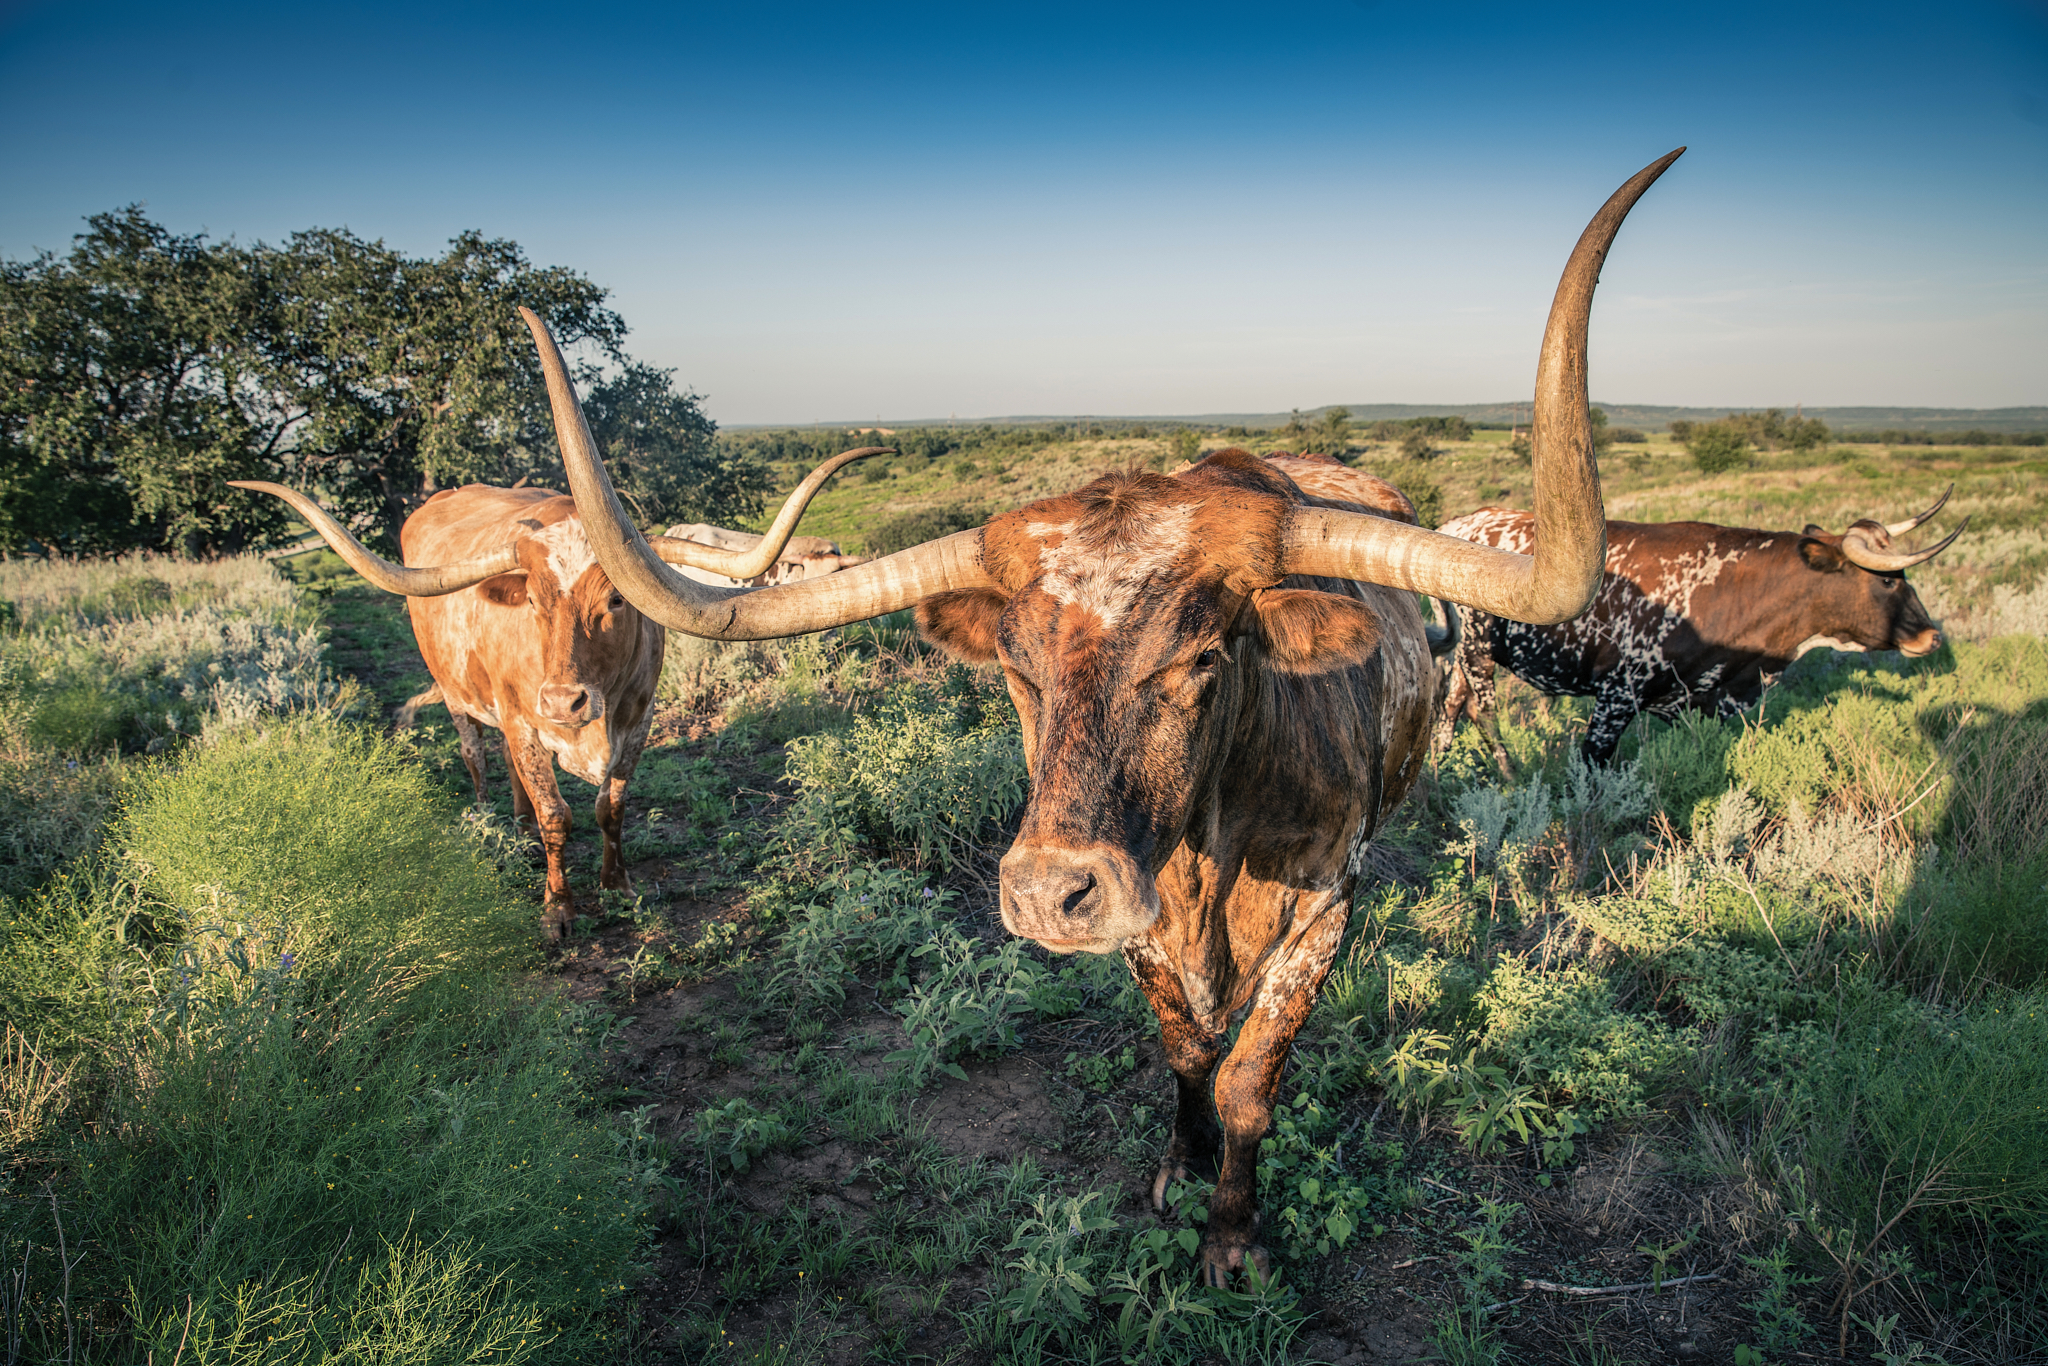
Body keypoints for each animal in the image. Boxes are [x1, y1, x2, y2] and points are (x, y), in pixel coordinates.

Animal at [230, 448, 880, 942]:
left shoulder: (638, 722)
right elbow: (556, 817)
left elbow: (609, 808)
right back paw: (495, 826)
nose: (562, 703)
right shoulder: (525, 720)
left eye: (617, 598)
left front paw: (616, 886)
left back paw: (517, 827)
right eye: (535, 601)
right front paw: (558, 907)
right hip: (462, 697)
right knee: (478, 756)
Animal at [524, 154, 1679, 1286]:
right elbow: (1186, 1055)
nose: (1049, 892)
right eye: (1014, 667)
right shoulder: (1142, 926)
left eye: (1204, 655)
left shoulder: (1323, 916)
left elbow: (1249, 1078)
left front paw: (1232, 1236)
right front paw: (1181, 1168)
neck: (1214, 850)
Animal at [1433, 497, 1957, 765]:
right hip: (1478, 653)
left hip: (1466, 657)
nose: (1931, 638)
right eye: (1888, 579)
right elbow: (1593, 771)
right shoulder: (1616, 699)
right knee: (1482, 713)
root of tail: (1462, 520)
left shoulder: (1706, 704)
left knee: (1452, 707)